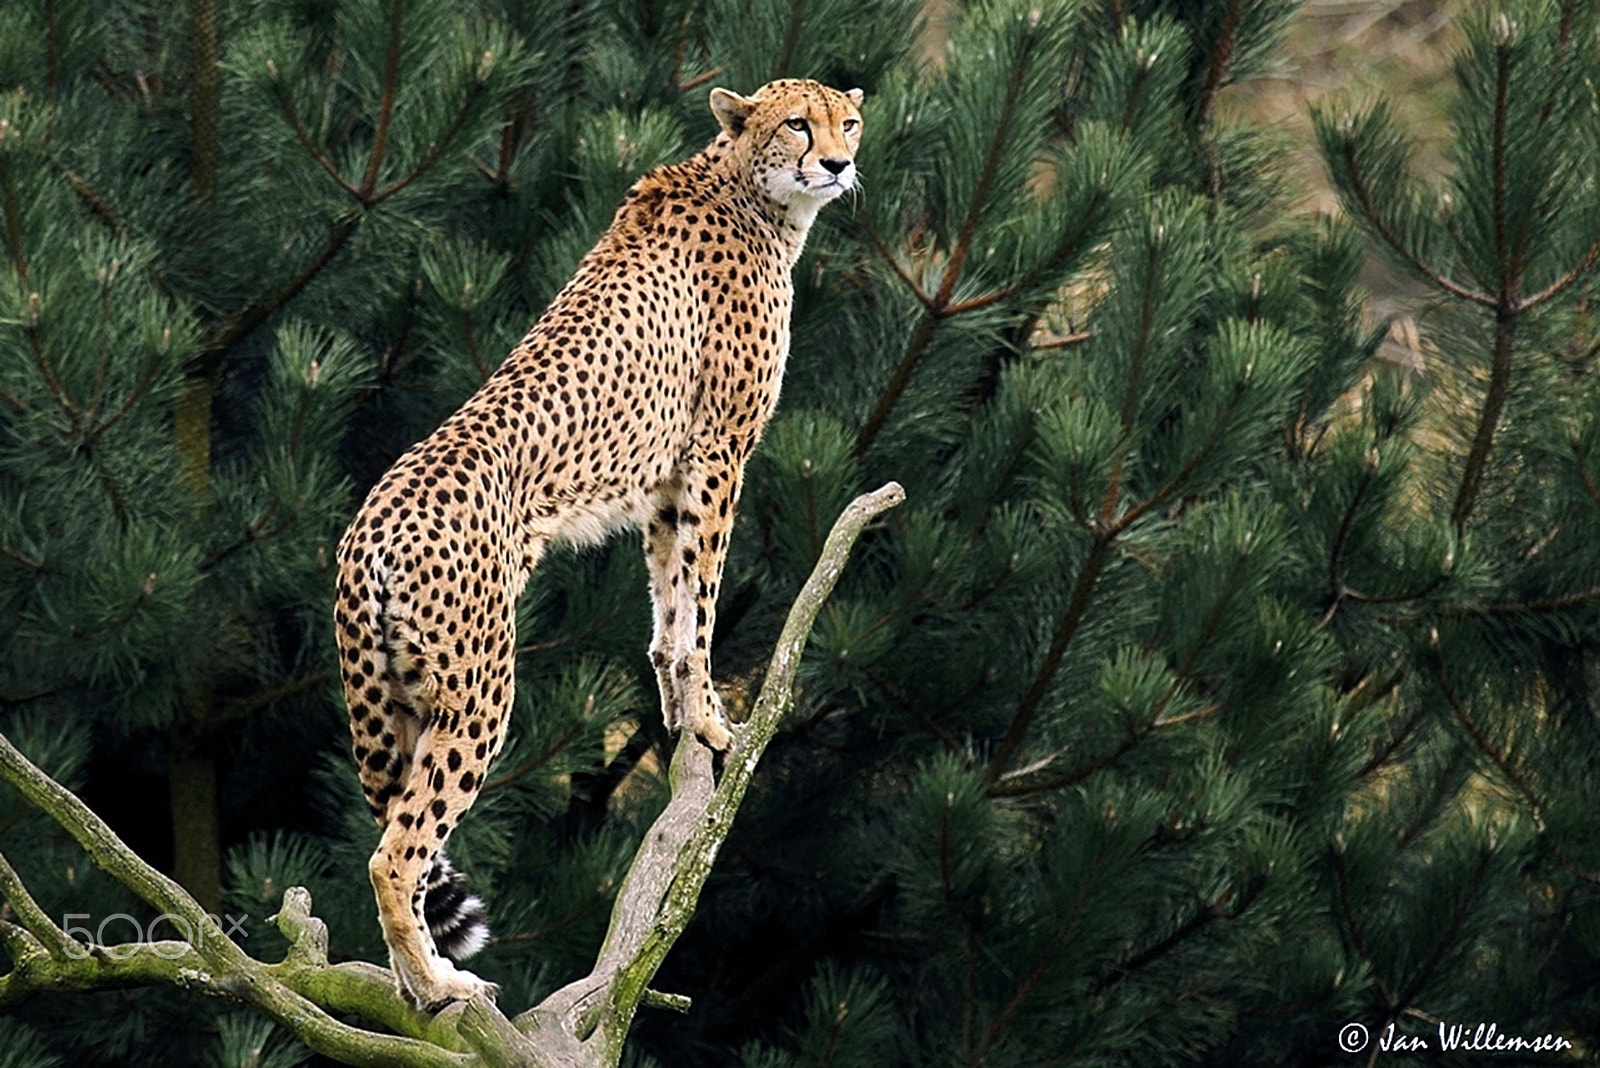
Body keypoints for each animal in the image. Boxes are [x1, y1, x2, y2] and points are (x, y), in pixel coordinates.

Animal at [332, 78, 863, 1011]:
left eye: (850, 122)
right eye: (799, 123)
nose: (837, 164)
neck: (753, 192)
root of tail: (371, 524)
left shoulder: (664, 479)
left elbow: (669, 607)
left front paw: (680, 713)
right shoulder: (718, 450)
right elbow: (705, 601)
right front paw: (713, 721)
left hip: (392, 701)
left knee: (399, 832)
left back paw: (412, 984)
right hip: (479, 688)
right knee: (395, 854)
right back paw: (440, 983)